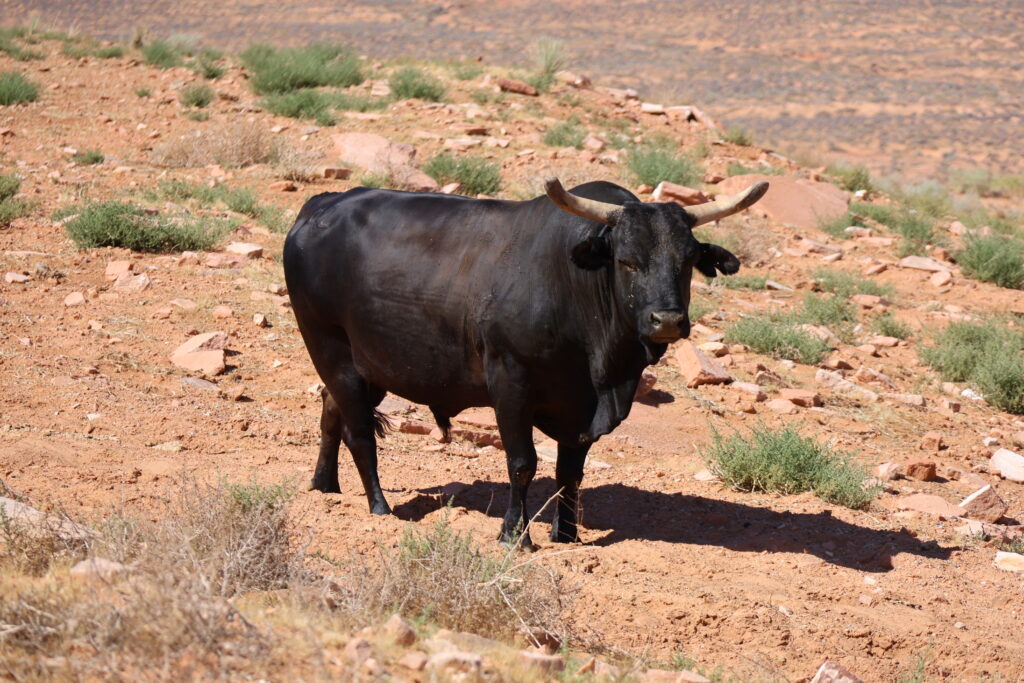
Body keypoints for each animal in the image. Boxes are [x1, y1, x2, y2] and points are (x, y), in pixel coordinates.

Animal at [283, 177, 767, 548]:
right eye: (627, 261)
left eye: (687, 262)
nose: (666, 320)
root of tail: (321, 203)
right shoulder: (511, 384)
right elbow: (523, 463)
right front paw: (514, 534)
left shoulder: (579, 407)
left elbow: (570, 473)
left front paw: (566, 534)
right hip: (331, 349)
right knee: (360, 433)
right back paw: (380, 508)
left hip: (372, 364)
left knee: (331, 411)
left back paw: (324, 487)